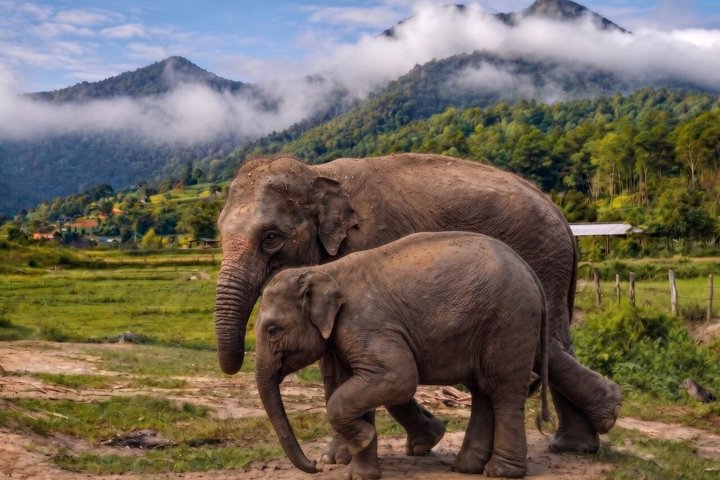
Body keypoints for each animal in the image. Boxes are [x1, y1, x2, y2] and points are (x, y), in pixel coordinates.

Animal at [255, 232, 551, 479]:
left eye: (273, 330)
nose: (315, 466)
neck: (324, 270)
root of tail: (530, 272)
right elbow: (353, 386)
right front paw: (360, 474)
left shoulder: (365, 324)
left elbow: (398, 377)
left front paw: (363, 440)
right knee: (482, 390)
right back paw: (467, 467)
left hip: (510, 321)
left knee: (503, 391)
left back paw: (500, 472)